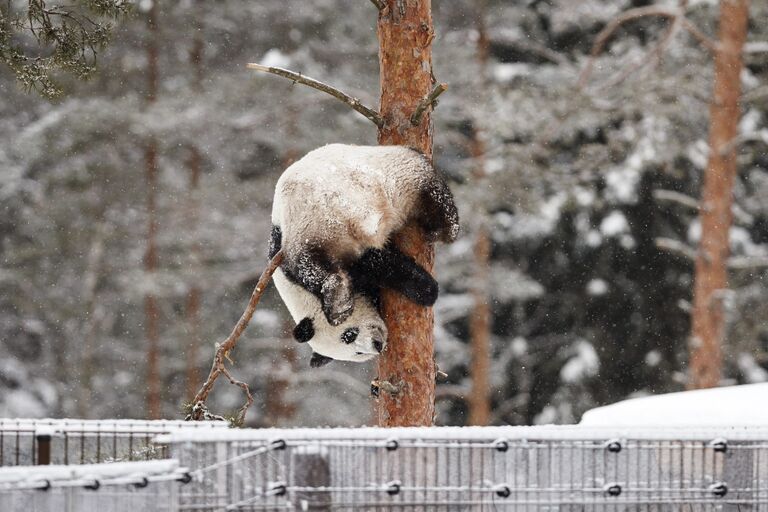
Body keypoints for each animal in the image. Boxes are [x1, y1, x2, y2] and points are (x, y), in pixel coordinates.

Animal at [268, 144, 460, 366]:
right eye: (357, 352)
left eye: (349, 335)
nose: (377, 345)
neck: (301, 298)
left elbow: (371, 267)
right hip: (394, 180)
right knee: (432, 196)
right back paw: (445, 230)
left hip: (306, 225)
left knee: (310, 264)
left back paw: (338, 304)